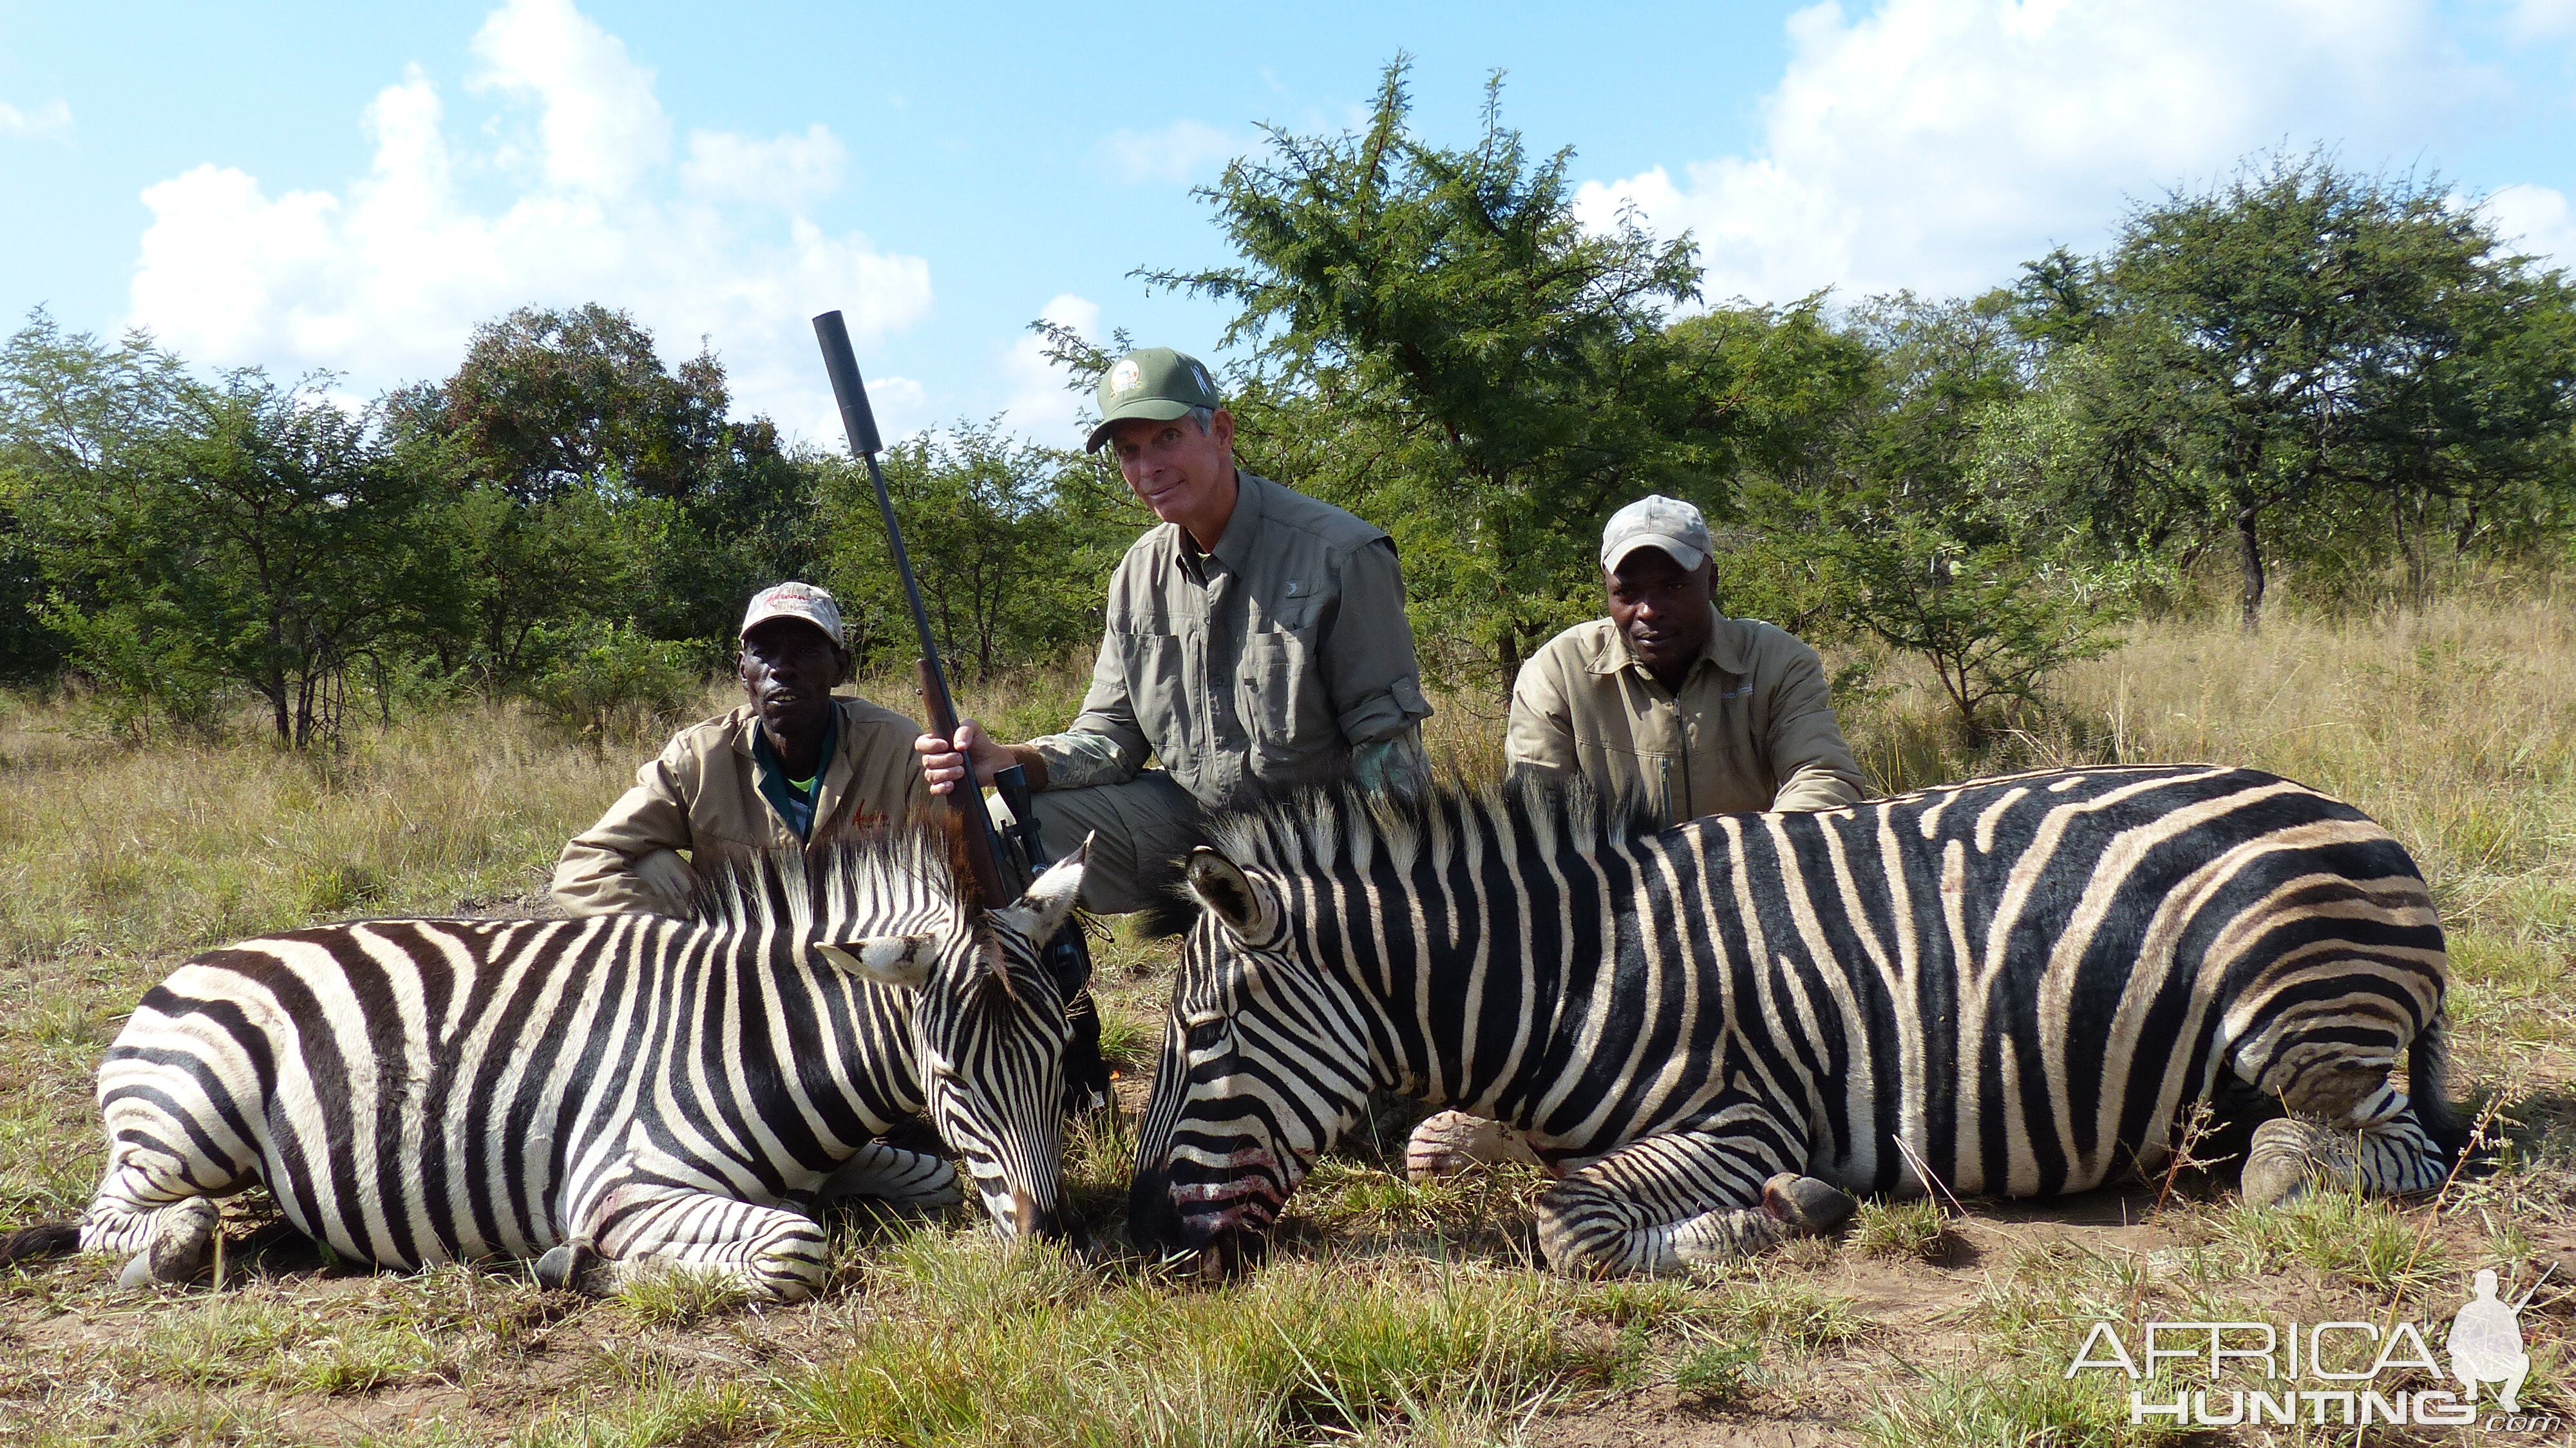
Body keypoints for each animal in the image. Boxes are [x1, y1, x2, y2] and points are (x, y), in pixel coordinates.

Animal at [15, 824, 1082, 1299]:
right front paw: (581, 1267)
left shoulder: (852, 1155)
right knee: (115, 1217)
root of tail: (190, 965)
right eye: (951, 1077)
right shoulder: (622, 1180)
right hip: (192, 1119)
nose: (1056, 1238)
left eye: (1060, 1053)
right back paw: (172, 1247)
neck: (760, 1038)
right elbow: (793, 1247)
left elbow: (935, 1178)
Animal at [1139, 768, 2463, 1273]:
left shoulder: (1745, 1117)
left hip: (2296, 1012)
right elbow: (1442, 1149)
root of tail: (2357, 815)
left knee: (2384, 1147)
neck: (1569, 973)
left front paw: (1787, 1214)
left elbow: (1570, 1225)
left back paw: (2271, 1164)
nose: (1137, 1239)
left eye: (1204, 1037)